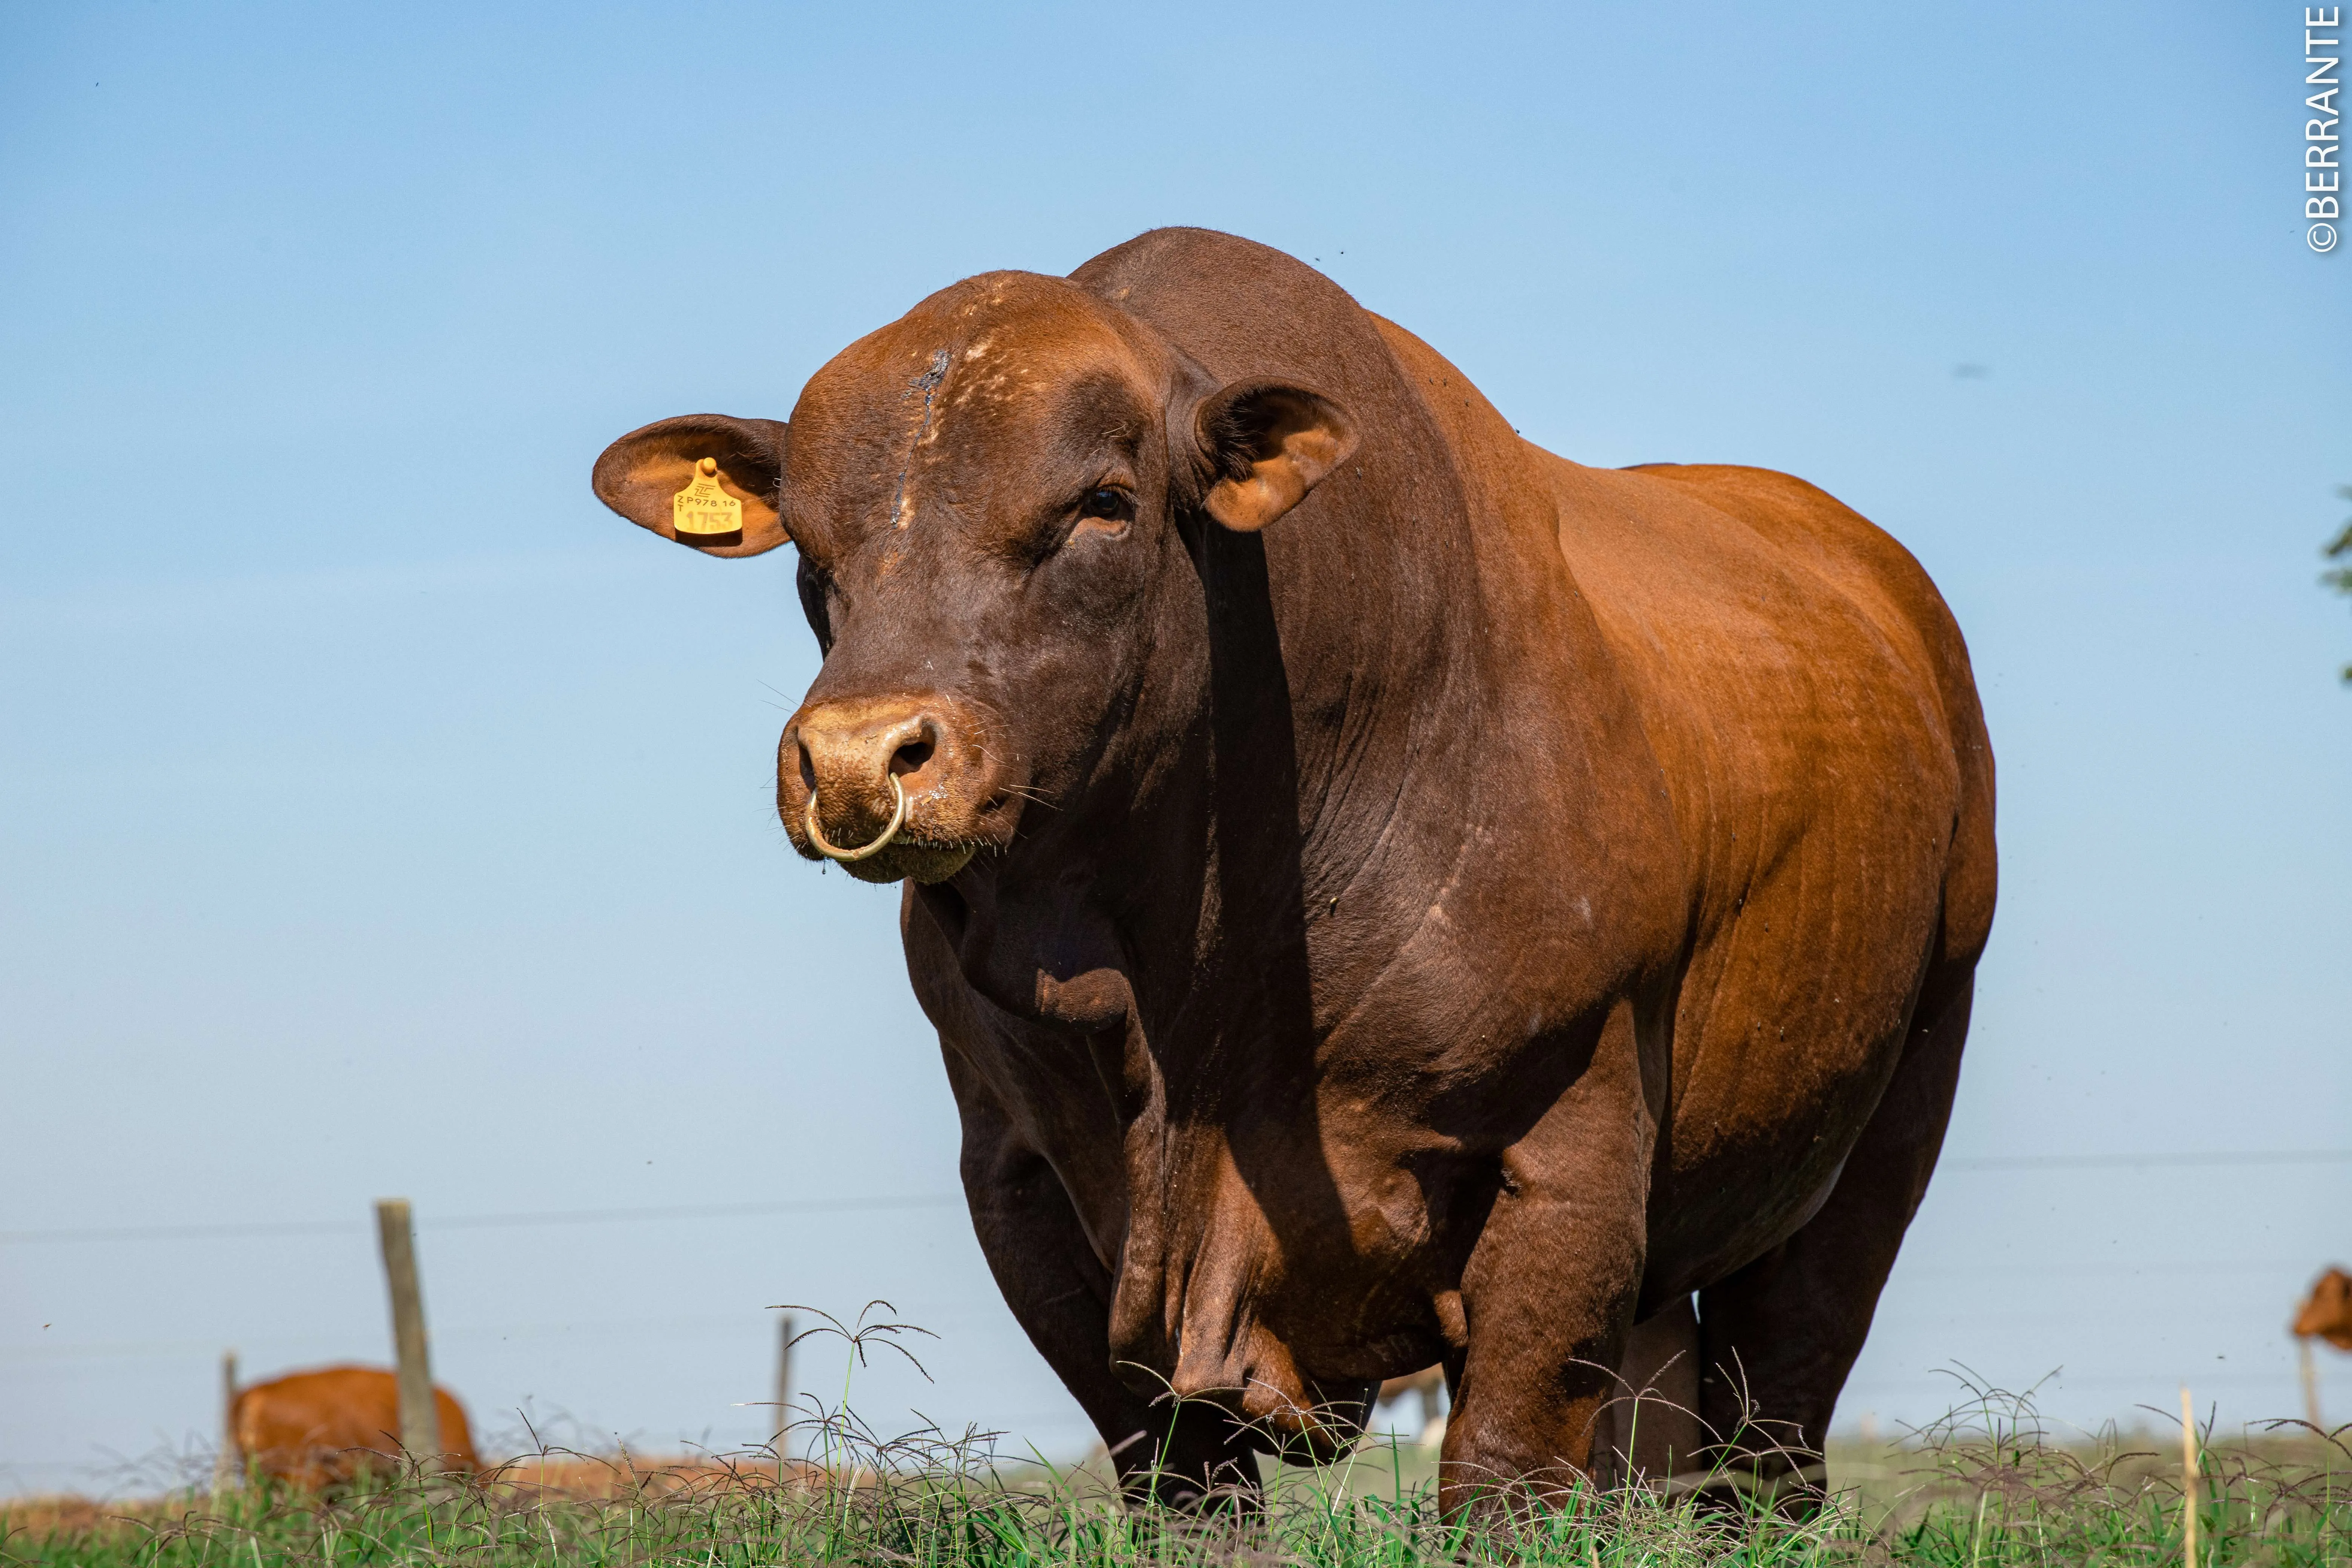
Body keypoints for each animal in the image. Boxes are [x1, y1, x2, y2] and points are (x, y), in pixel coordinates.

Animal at [583, 227, 1985, 1514]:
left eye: (1105, 501)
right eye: (811, 543)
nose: (861, 756)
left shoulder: (1568, 1152)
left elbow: (1498, 1470)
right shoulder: (1022, 1179)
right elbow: (1181, 1478)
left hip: (1887, 1125)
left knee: (1774, 1427)